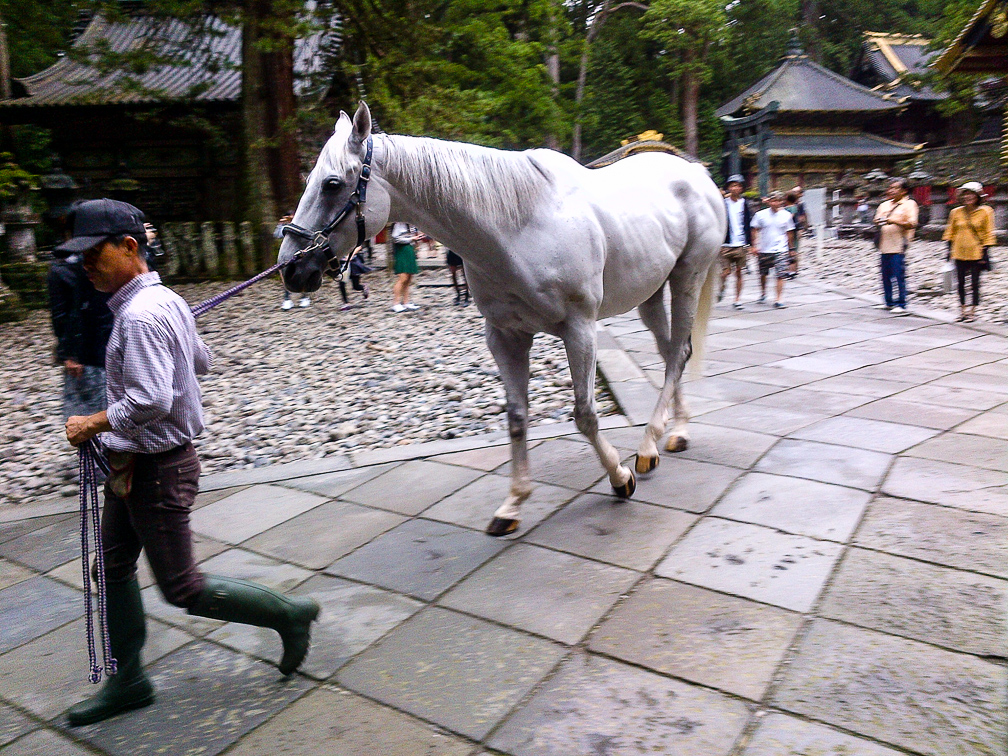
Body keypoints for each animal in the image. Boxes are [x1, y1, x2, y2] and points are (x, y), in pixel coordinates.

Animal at [280, 102, 729, 540]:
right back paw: (673, 431)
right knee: (672, 352)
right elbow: (516, 417)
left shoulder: (580, 328)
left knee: (679, 352)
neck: (518, 225)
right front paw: (513, 504)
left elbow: (585, 414)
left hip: (687, 277)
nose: (290, 268)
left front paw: (620, 479)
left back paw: (652, 445)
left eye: (332, 184)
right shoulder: (505, 335)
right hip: (650, 292)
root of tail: (697, 173)